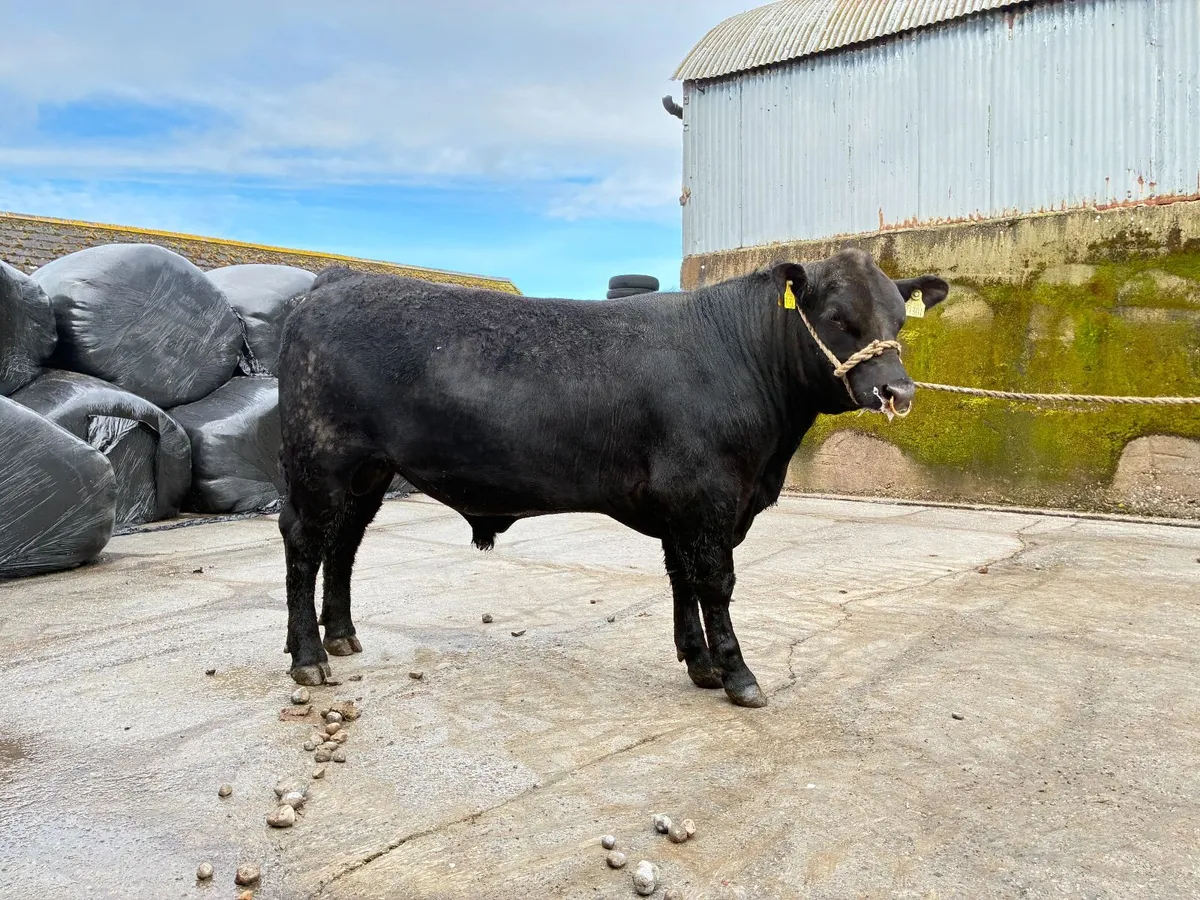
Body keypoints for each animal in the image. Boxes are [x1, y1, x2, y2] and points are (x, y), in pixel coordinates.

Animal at [276, 249, 948, 707]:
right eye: (836, 317)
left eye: (899, 320)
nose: (898, 390)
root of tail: (333, 284)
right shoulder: (710, 497)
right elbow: (716, 583)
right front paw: (738, 675)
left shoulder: (682, 506)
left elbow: (682, 580)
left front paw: (699, 664)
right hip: (319, 462)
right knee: (305, 545)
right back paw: (309, 657)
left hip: (368, 473)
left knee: (345, 544)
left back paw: (342, 636)